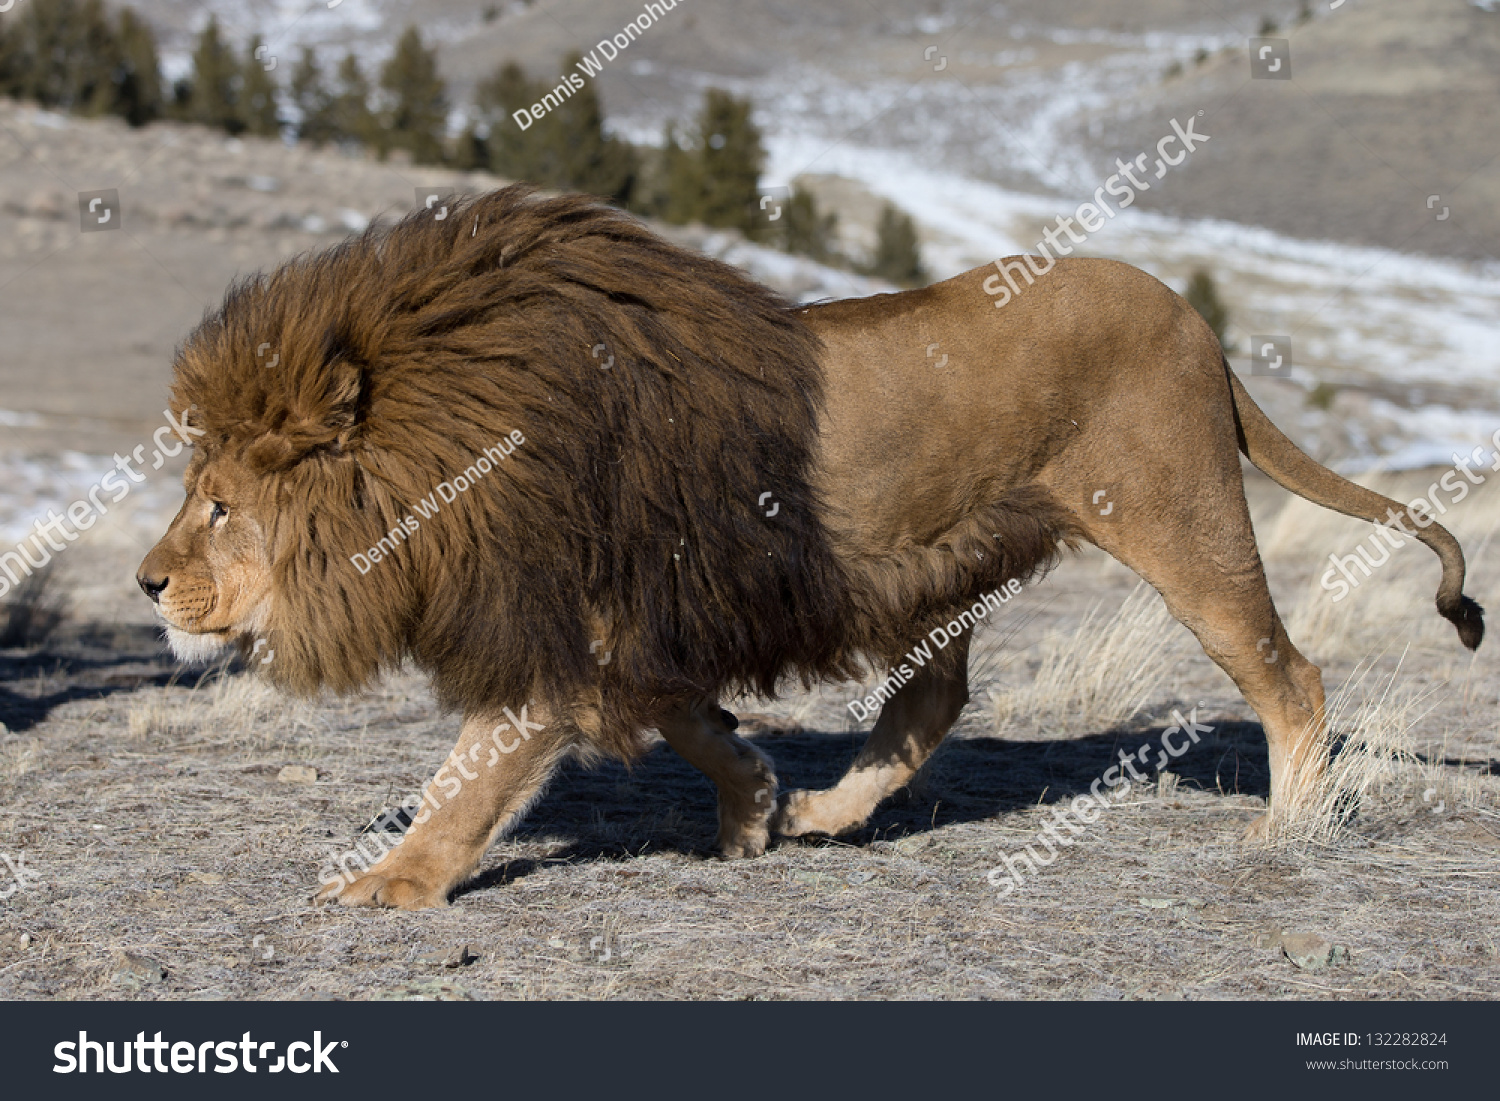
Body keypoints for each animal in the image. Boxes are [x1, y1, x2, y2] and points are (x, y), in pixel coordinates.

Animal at [135, 185, 1482, 912]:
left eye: (217, 504)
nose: (145, 584)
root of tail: (1200, 322)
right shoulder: (636, 625)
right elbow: (693, 722)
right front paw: (756, 811)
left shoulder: (563, 629)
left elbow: (471, 777)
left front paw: (389, 884)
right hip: (951, 561)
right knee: (934, 698)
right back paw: (835, 812)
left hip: (1181, 522)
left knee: (1289, 675)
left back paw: (1288, 827)